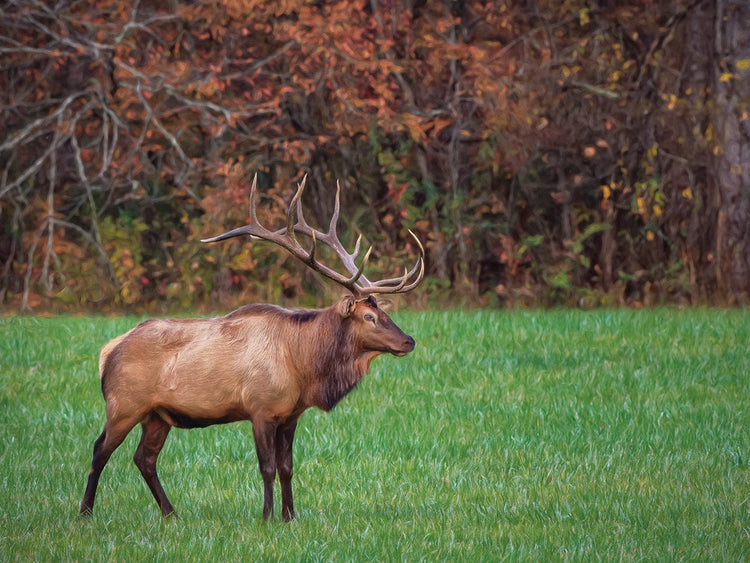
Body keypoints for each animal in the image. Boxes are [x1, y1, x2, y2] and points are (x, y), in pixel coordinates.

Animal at [79, 174, 424, 521]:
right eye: (369, 316)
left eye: (384, 313)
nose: (409, 340)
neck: (303, 366)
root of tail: (108, 351)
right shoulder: (260, 408)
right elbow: (267, 467)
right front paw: (267, 517)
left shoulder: (290, 415)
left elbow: (287, 467)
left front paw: (290, 517)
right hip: (124, 404)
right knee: (99, 449)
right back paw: (86, 512)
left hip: (157, 415)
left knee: (144, 458)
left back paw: (170, 513)